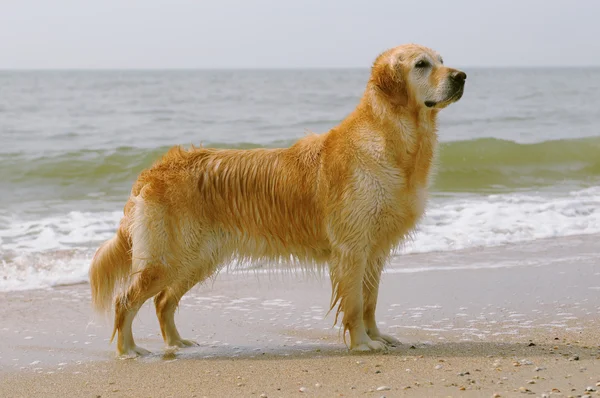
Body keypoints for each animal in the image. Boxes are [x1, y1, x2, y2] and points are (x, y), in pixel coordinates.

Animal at [89, 44, 466, 358]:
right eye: (421, 64)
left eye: (442, 60)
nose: (462, 76)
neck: (389, 139)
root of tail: (154, 169)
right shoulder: (352, 250)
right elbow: (356, 304)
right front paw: (362, 344)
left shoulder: (374, 252)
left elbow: (370, 302)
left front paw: (378, 336)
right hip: (168, 258)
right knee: (126, 300)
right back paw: (129, 350)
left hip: (197, 258)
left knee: (164, 300)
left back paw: (177, 343)